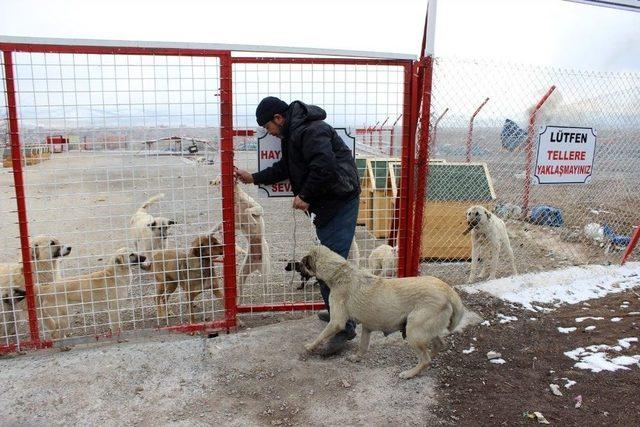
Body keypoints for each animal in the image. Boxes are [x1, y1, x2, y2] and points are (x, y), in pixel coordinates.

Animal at [300, 246, 464, 380]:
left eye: (302, 263)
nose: (294, 265)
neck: (340, 272)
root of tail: (447, 290)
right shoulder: (367, 327)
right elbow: (363, 346)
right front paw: (357, 358)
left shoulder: (336, 322)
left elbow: (321, 335)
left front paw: (310, 346)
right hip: (423, 330)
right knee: (437, 347)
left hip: (413, 332)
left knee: (425, 359)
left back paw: (410, 373)